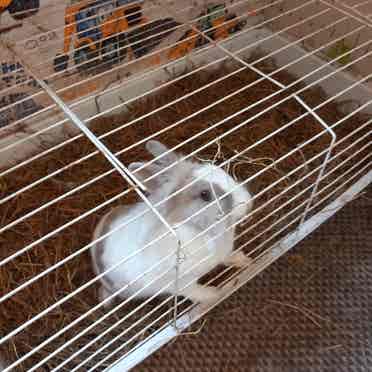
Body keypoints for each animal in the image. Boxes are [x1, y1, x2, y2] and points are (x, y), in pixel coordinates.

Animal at [91, 140, 253, 308]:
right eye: (205, 195)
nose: (248, 202)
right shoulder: (180, 283)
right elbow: (194, 292)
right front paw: (214, 295)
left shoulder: (223, 253)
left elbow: (228, 257)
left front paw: (244, 260)